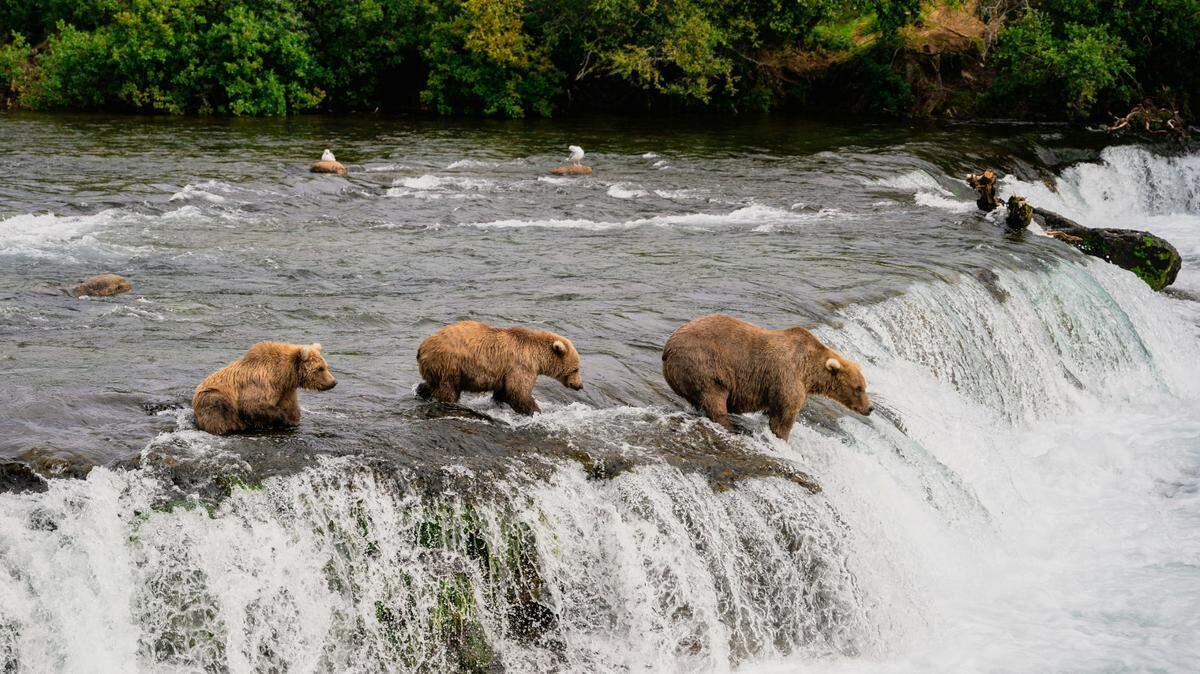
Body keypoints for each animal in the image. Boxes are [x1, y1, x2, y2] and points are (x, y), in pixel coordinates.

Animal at [192, 342, 336, 435]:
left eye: (326, 366)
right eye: (320, 368)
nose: (334, 382)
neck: (284, 375)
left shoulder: (286, 390)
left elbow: (291, 408)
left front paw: (292, 420)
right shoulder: (261, 383)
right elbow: (254, 404)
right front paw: (280, 418)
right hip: (213, 396)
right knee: (218, 409)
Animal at [416, 320, 583, 415]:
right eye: (576, 368)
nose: (580, 385)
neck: (537, 357)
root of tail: (422, 346)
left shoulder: (506, 372)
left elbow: (504, 392)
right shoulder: (521, 365)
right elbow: (519, 392)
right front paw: (536, 411)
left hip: (437, 367)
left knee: (432, 384)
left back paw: (422, 391)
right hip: (450, 364)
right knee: (448, 389)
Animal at [662, 314, 872, 441]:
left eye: (864, 386)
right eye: (858, 388)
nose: (869, 408)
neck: (810, 372)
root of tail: (667, 348)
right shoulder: (787, 377)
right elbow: (784, 415)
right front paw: (781, 437)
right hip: (704, 364)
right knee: (714, 396)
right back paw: (732, 425)